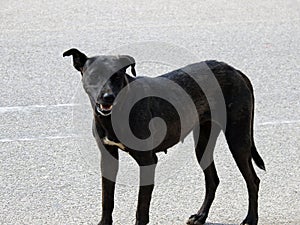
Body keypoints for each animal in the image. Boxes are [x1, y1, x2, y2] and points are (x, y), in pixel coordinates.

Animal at [63, 48, 264, 225]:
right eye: (94, 75)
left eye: (117, 76)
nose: (108, 97)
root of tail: (235, 70)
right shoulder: (108, 159)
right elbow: (107, 200)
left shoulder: (148, 161)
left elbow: (141, 209)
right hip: (203, 144)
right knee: (212, 180)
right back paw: (201, 216)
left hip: (238, 139)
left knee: (253, 180)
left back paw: (251, 219)